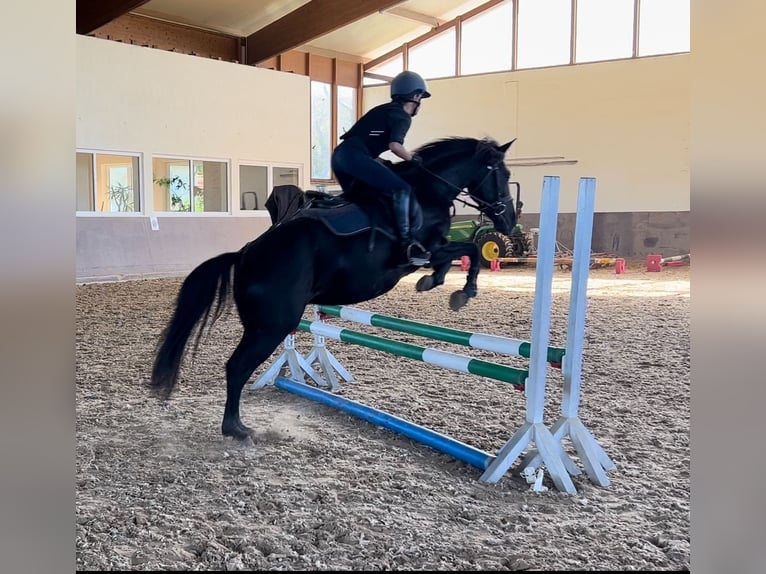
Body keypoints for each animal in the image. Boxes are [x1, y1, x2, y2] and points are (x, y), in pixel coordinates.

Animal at [150, 137, 520, 444]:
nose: (508, 222)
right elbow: (470, 251)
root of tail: (244, 254)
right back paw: (236, 428)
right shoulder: (424, 250)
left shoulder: (433, 250)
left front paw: (436, 282)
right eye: (502, 174)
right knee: (237, 367)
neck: (426, 191)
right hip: (272, 326)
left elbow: (460, 255)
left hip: (266, 325)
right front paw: (462, 291)